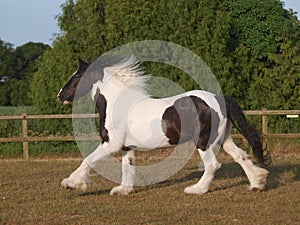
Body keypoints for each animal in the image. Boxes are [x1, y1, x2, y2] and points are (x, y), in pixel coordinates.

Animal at [57, 55, 270, 195]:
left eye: (77, 76)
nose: (60, 95)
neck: (117, 103)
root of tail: (218, 97)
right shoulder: (126, 146)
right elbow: (127, 167)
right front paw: (123, 189)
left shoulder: (111, 144)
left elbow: (88, 160)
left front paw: (71, 183)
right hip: (223, 138)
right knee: (241, 156)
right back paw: (258, 183)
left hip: (203, 141)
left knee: (213, 165)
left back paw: (196, 189)